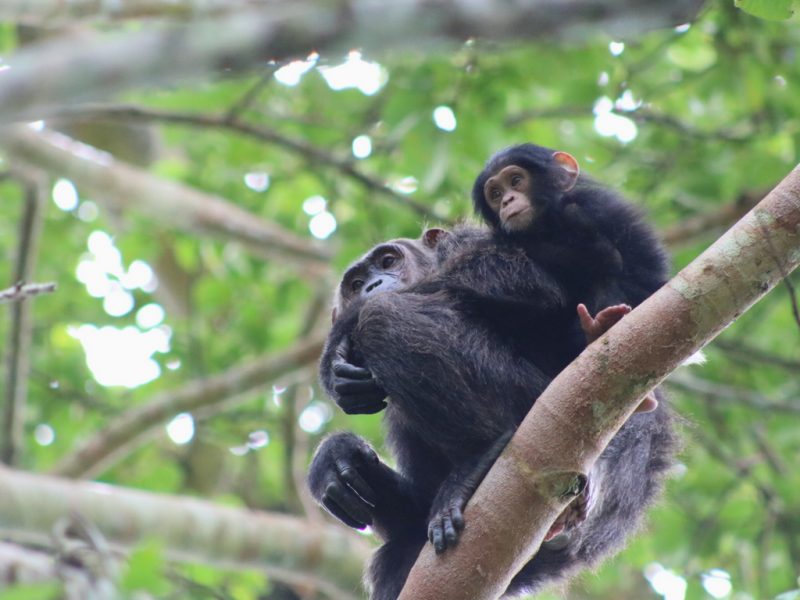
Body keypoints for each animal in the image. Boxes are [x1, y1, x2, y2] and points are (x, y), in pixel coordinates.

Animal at [308, 227, 676, 596]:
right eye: (356, 283)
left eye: (388, 261)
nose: (371, 286)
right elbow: (415, 511)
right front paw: (337, 458)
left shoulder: (474, 242)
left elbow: (517, 277)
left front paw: (335, 348)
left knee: (382, 317)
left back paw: (477, 461)